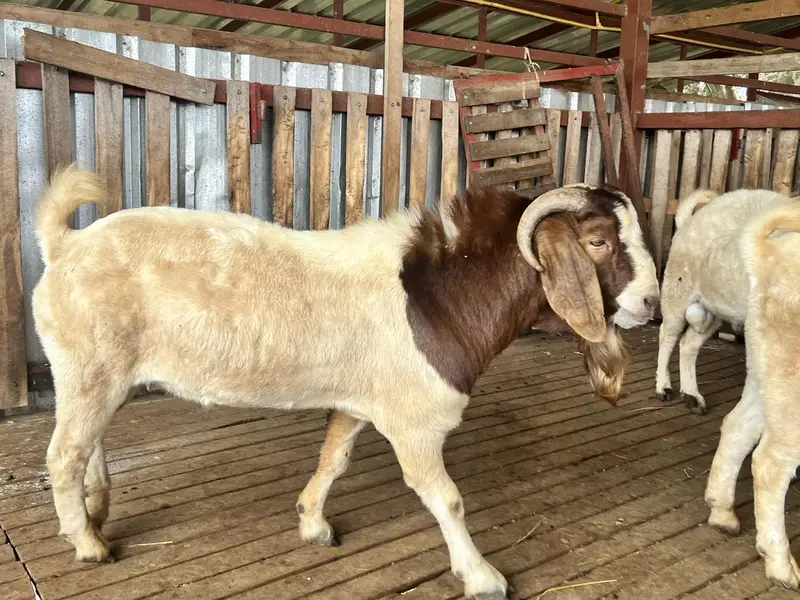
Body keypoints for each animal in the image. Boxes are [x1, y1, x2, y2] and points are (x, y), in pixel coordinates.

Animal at [32, 165, 659, 600]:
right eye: (598, 241)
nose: (652, 304)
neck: (435, 296)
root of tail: (64, 245)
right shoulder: (414, 420)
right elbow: (446, 498)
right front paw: (482, 576)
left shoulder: (362, 401)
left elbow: (334, 459)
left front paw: (313, 523)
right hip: (88, 365)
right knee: (64, 453)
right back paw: (88, 543)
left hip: (100, 373)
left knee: (89, 443)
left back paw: (96, 510)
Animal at [655, 187, 797, 414]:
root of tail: (688, 222)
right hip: (676, 291)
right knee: (667, 335)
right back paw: (663, 387)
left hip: (714, 309)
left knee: (688, 344)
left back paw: (692, 396)